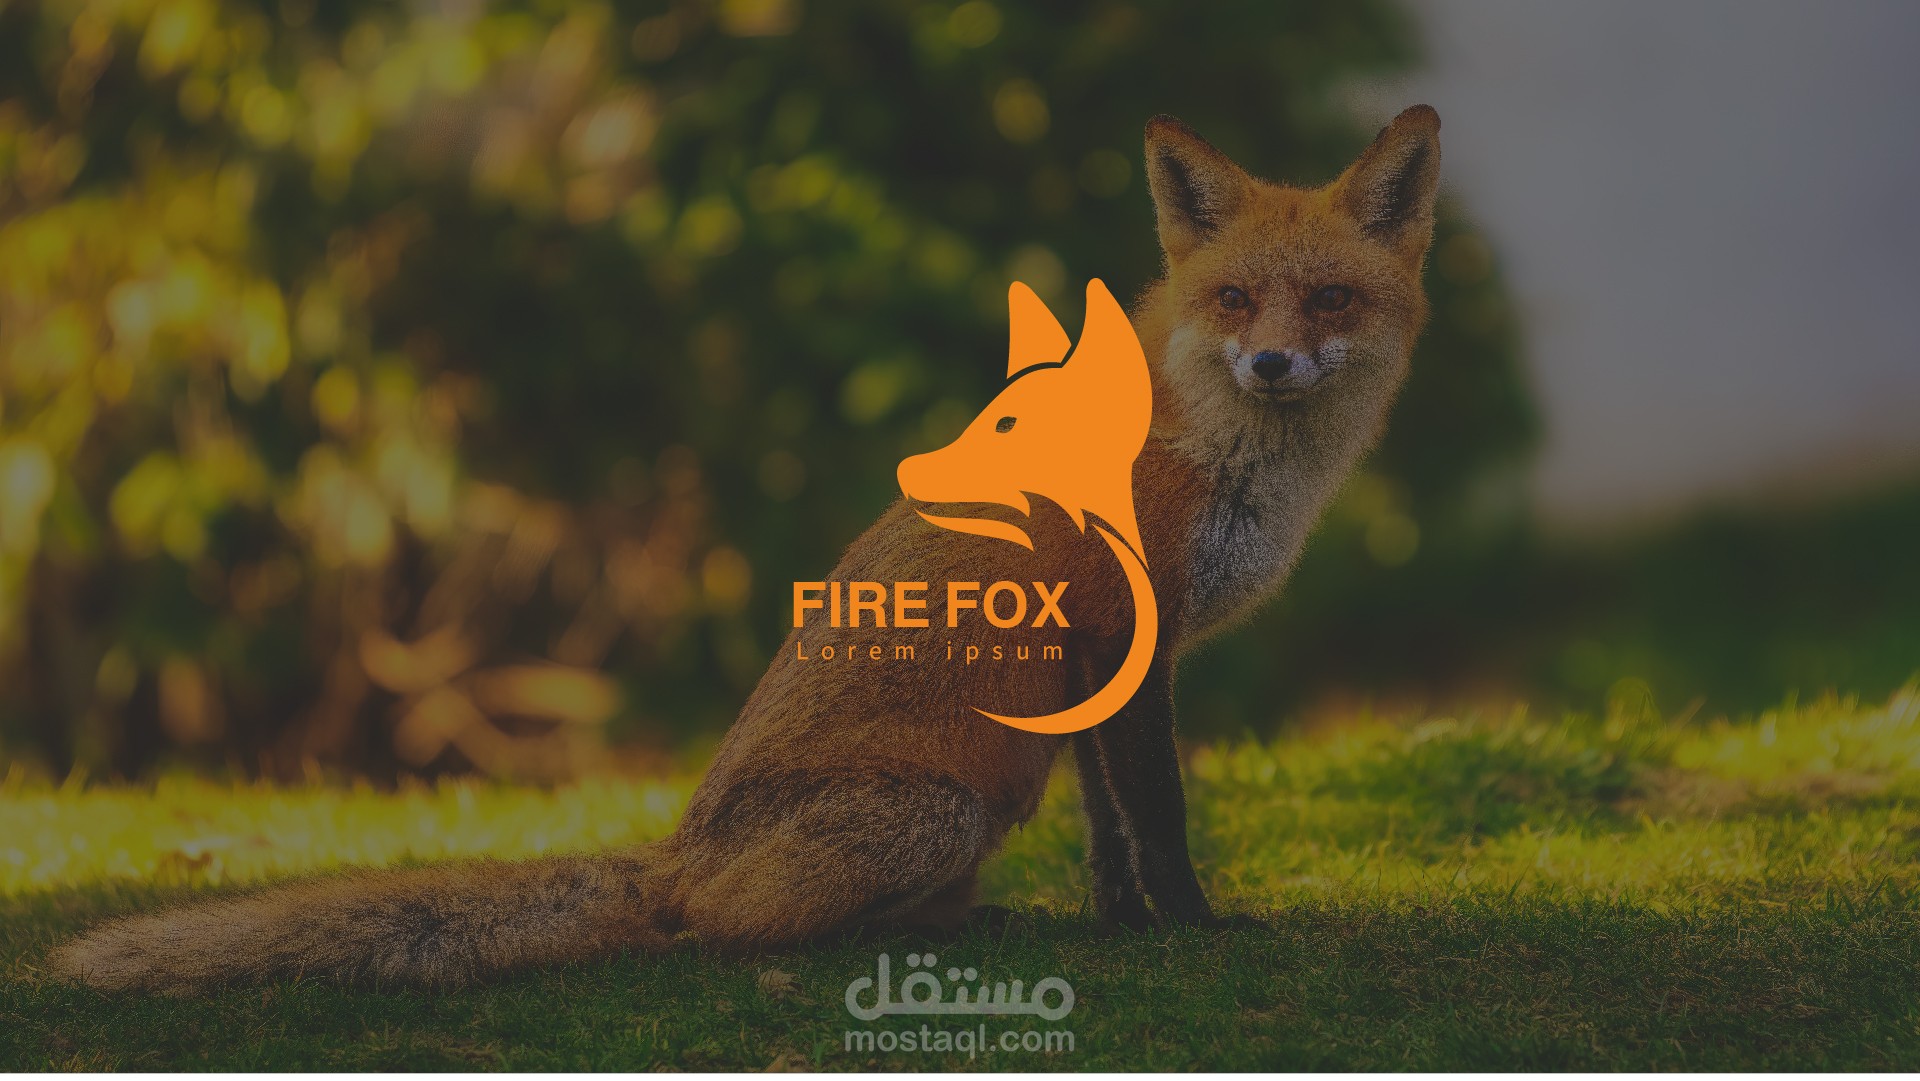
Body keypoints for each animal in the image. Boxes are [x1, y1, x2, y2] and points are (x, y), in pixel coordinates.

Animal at [50, 105, 1441, 993]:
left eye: (1328, 300)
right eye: (1233, 301)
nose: (1273, 363)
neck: (1225, 458)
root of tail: (680, 845)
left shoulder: (1105, 668)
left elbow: (1111, 826)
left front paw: (1117, 928)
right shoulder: (1115, 635)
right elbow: (1156, 813)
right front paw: (1191, 931)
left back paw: (981, 925)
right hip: (942, 807)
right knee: (709, 934)